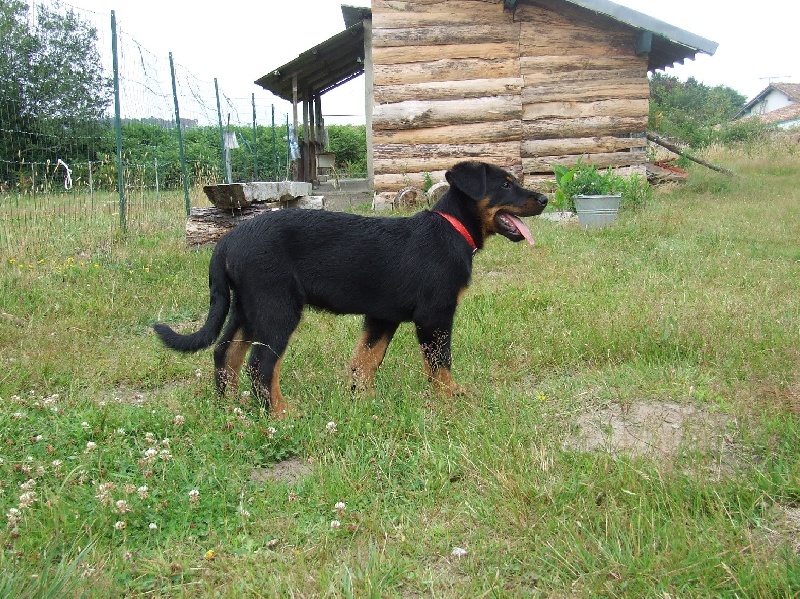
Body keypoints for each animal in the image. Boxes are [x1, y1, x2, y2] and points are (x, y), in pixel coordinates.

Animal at [153, 162, 548, 420]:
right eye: (506, 185)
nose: (544, 199)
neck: (451, 230)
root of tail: (226, 242)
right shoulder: (435, 315)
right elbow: (439, 363)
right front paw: (451, 398)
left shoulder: (382, 316)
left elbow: (366, 360)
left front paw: (364, 400)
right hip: (277, 307)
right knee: (260, 365)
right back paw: (280, 414)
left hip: (247, 307)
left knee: (226, 354)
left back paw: (229, 406)